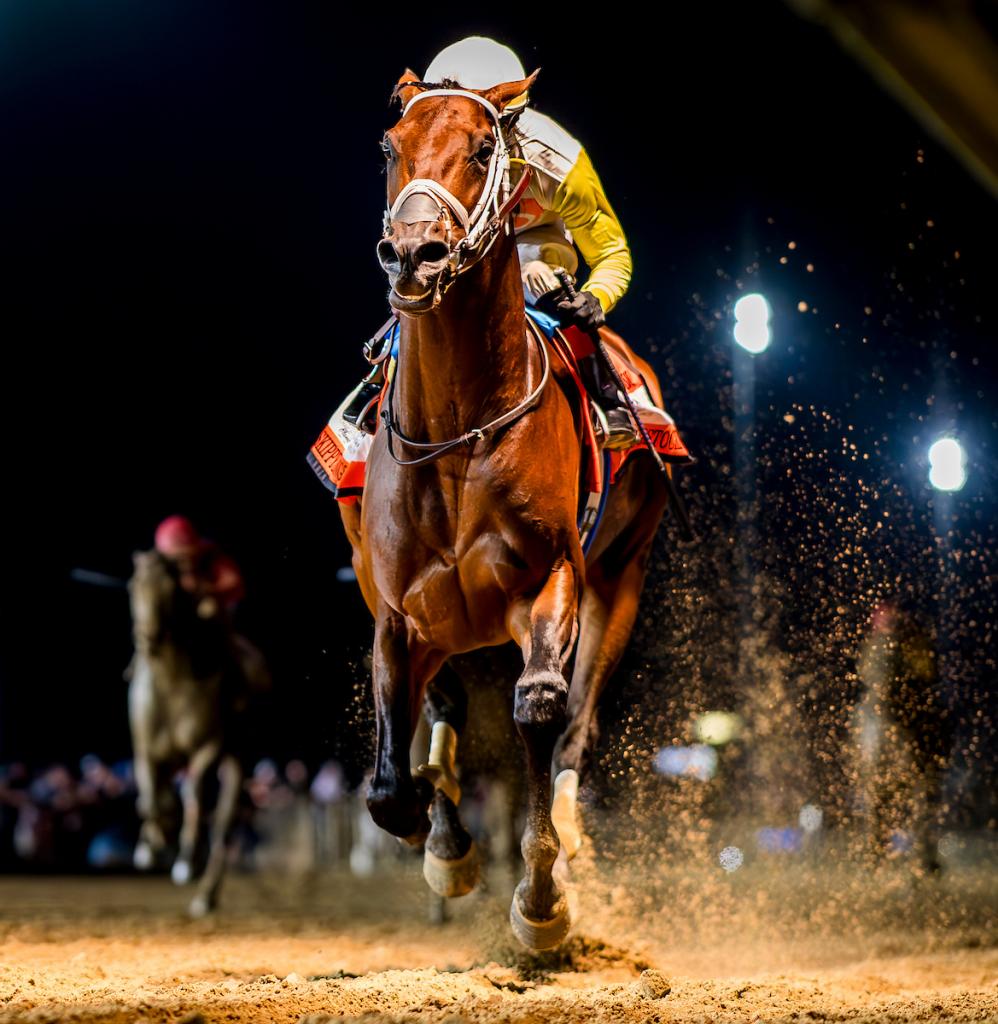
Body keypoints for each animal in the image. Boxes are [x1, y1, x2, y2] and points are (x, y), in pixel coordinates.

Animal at [127, 549, 252, 916]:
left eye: (171, 587)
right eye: (133, 586)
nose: (149, 637)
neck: (172, 679)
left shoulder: (209, 744)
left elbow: (193, 792)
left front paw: (185, 860)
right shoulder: (146, 750)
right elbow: (150, 798)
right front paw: (151, 844)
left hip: (239, 758)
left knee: (224, 823)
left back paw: (205, 894)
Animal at [336, 67, 673, 949]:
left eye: (485, 148)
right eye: (388, 146)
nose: (413, 252)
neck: (459, 428)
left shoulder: (551, 578)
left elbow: (541, 704)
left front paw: (543, 897)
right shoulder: (395, 606)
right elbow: (393, 781)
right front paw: (444, 845)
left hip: (622, 577)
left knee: (577, 716)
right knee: (444, 705)